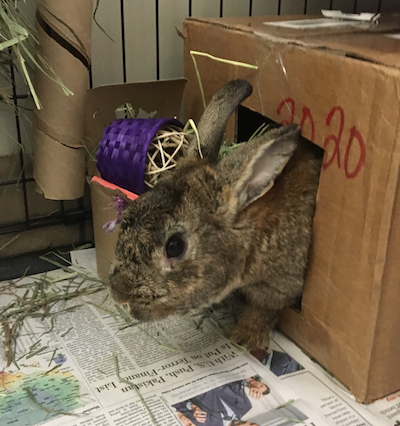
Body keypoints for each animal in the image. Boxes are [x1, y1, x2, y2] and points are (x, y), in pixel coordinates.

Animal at [108, 80, 322, 350]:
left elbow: (264, 309)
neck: (250, 235)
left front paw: (244, 338)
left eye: (175, 246)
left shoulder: (280, 284)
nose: (119, 296)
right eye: (130, 210)